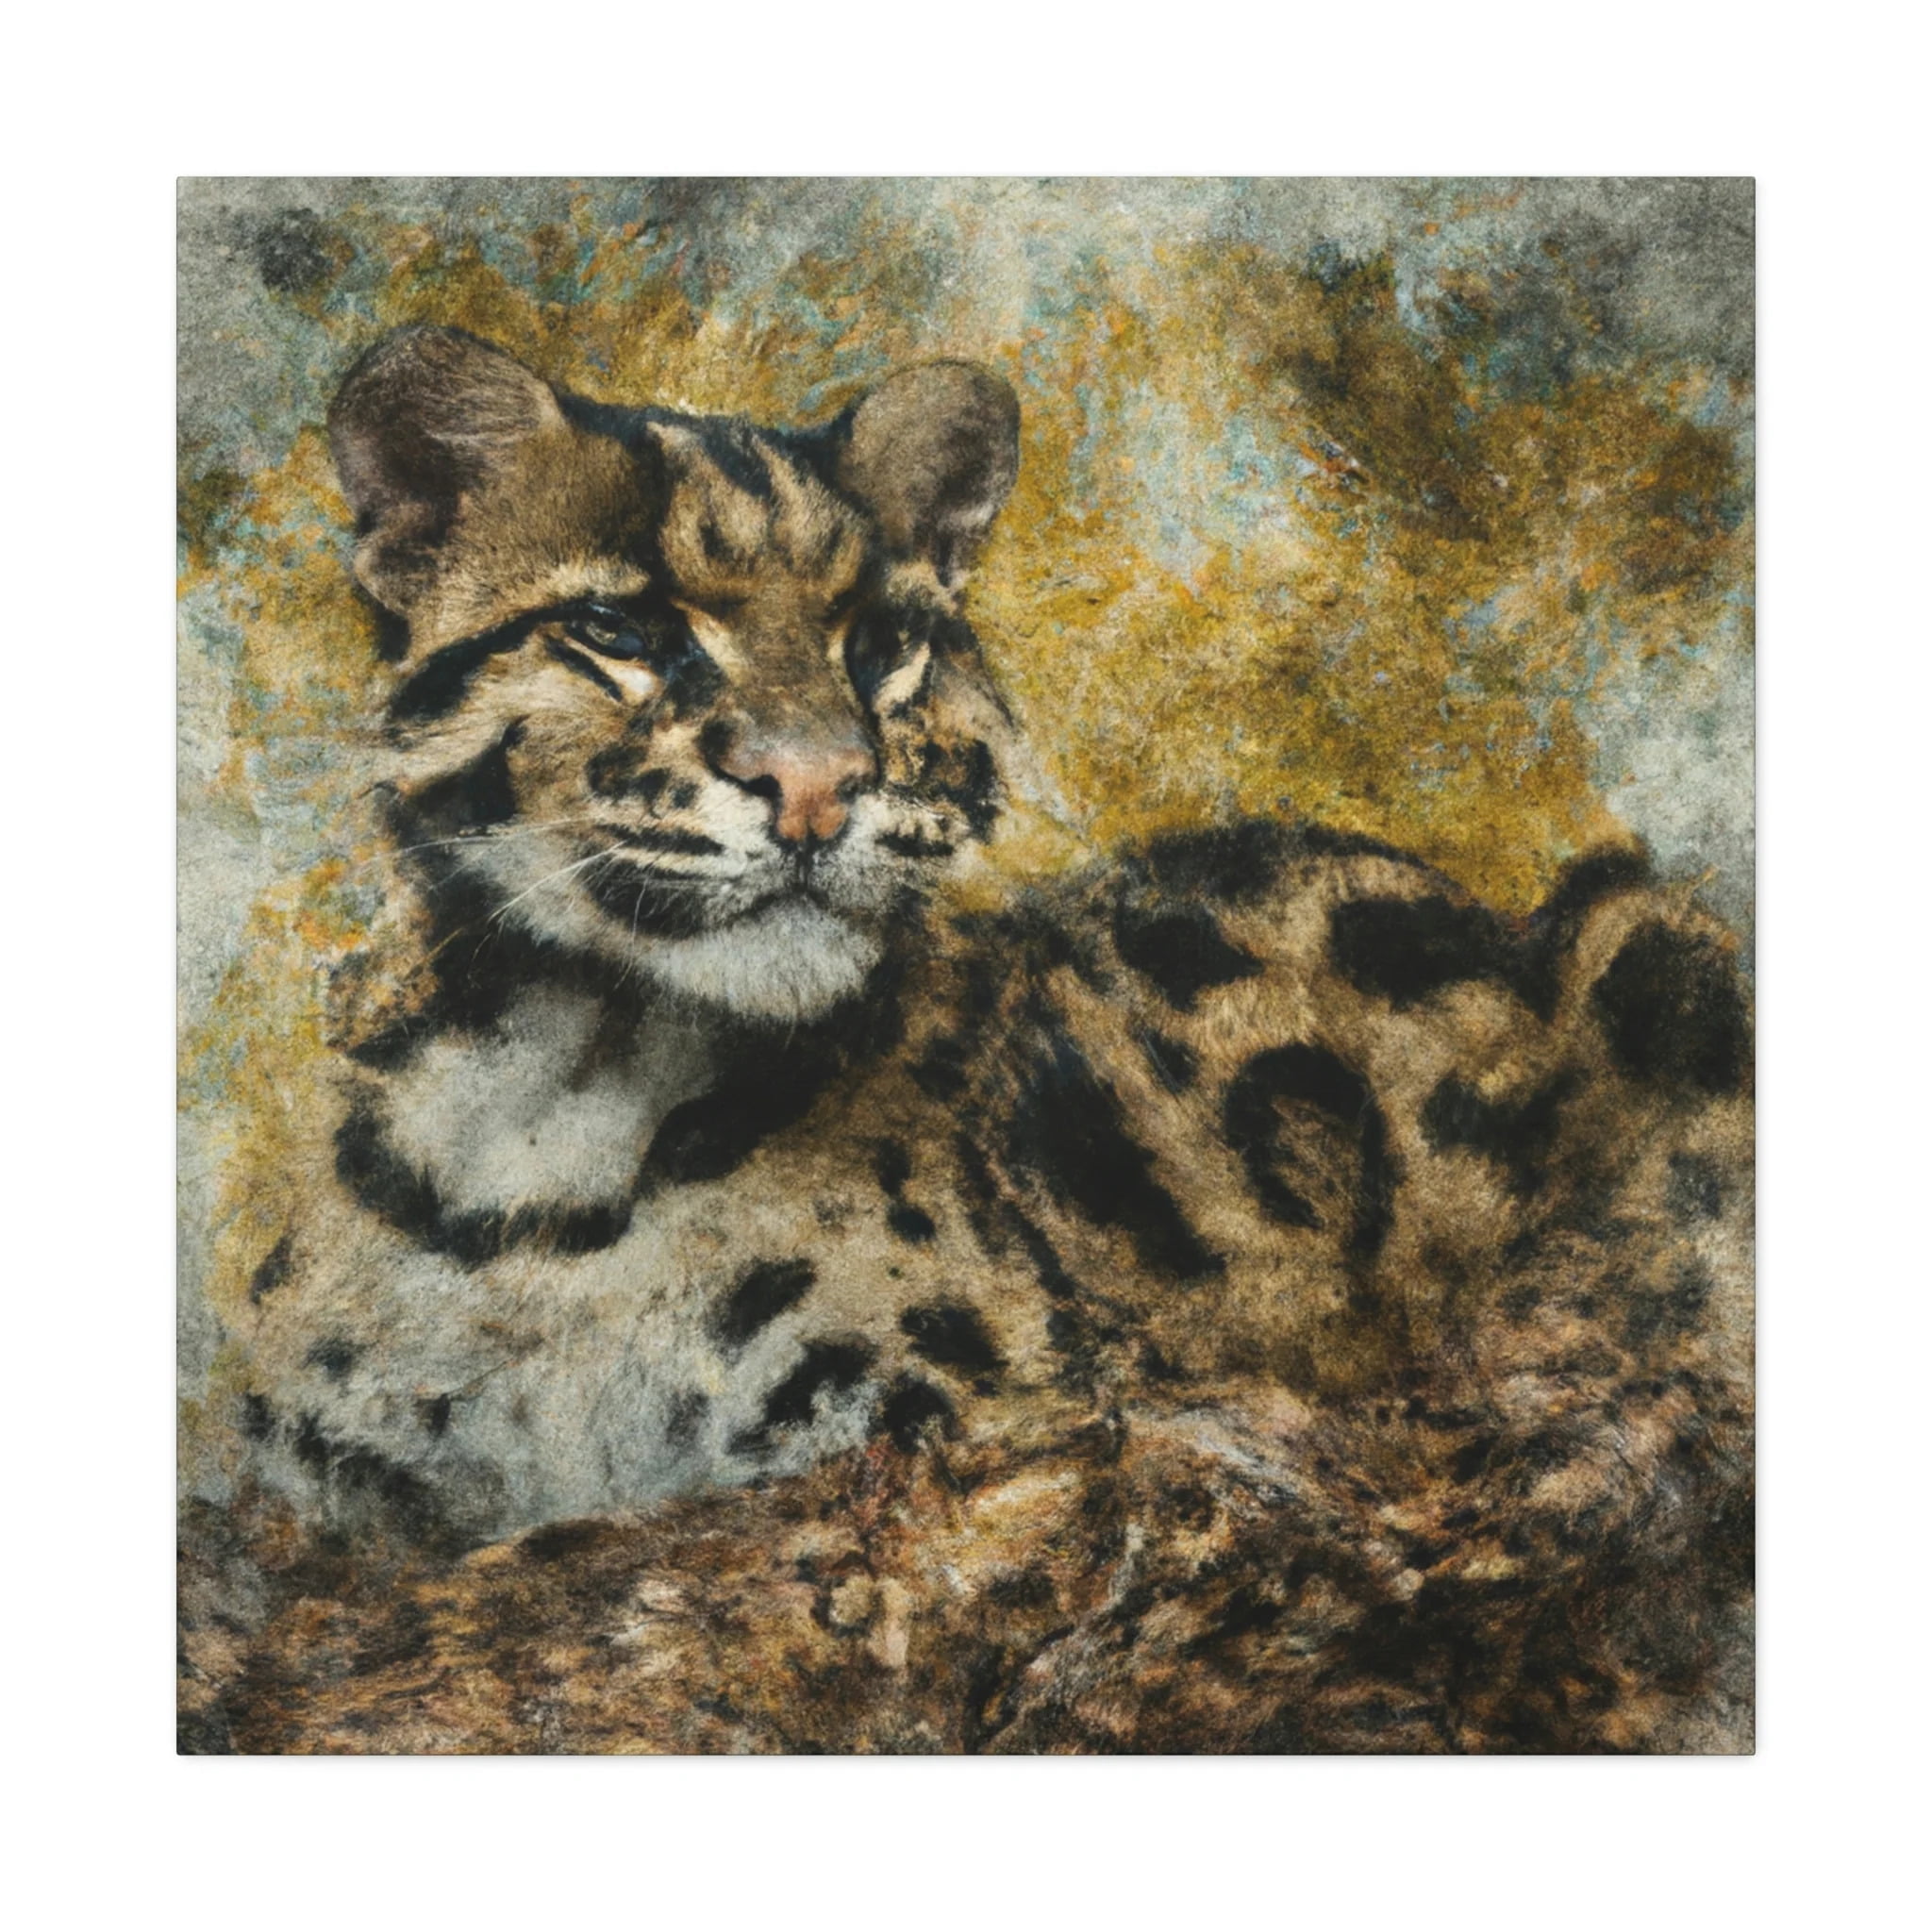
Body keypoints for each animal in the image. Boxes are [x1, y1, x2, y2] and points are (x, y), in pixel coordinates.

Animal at [180, 327, 1754, 1752]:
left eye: (886, 645)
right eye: (620, 633)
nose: (819, 787)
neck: (554, 1114)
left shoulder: (946, 1436)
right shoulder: (327, 1511)